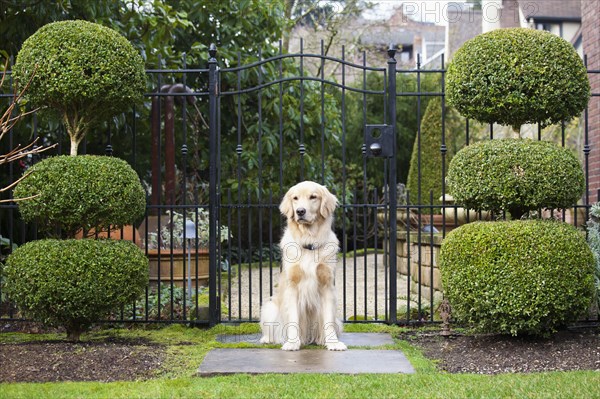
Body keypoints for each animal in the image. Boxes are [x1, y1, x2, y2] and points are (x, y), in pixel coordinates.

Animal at [258, 180, 346, 352]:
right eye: (295, 198)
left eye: (313, 197)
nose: (300, 211)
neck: (309, 241)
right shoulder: (292, 286)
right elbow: (293, 318)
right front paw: (292, 343)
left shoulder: (327, 285)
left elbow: (328, 320)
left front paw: (332, 342)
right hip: (270, 307)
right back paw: (267, 339)